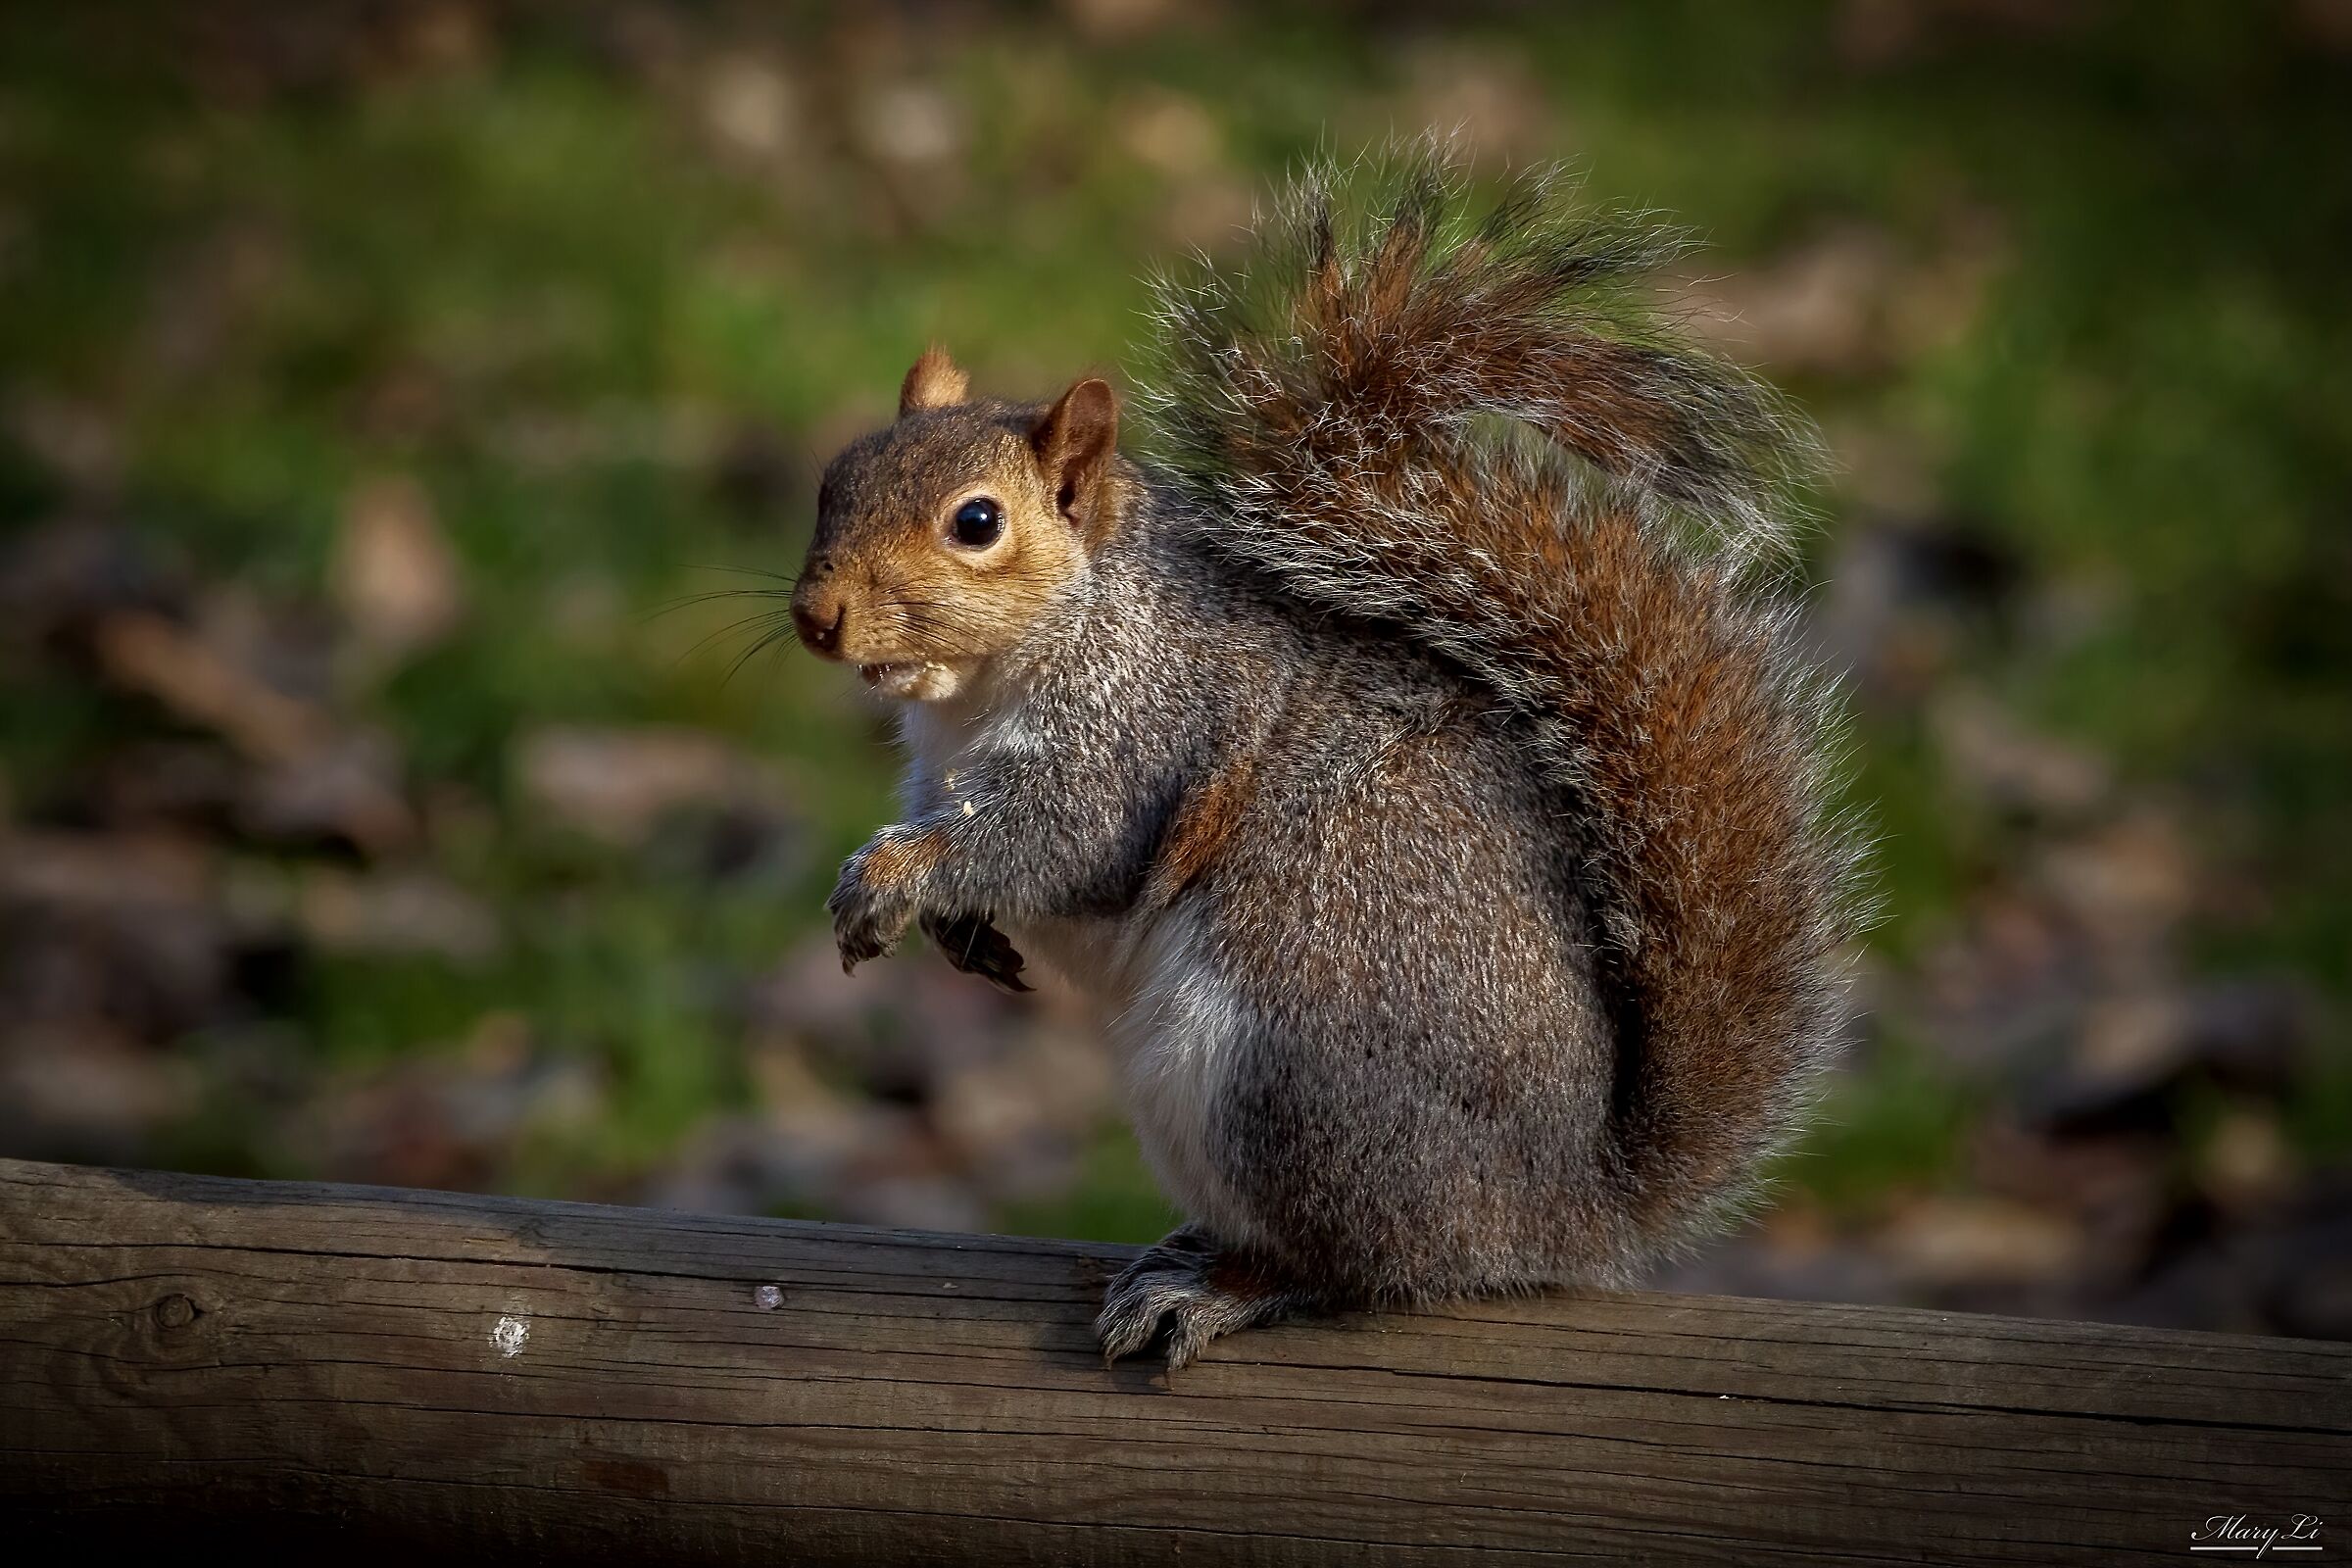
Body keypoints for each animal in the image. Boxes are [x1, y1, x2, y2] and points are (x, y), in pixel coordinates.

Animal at [788, 148, 1866, 1370]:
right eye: (834, 478)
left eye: (977, 523)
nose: (816, 616)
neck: (981, 688)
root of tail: (1564, 1207)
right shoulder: (942, 771)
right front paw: (947, 923)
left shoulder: (1144, 728)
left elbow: (1058, 841)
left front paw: (894, 878)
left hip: (1280, 1073)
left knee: (1359, 1265)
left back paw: (1222, 1289)